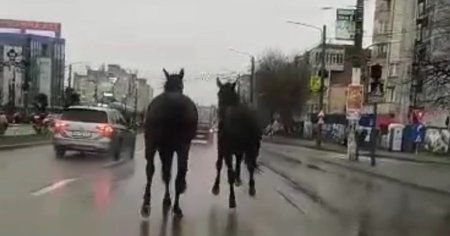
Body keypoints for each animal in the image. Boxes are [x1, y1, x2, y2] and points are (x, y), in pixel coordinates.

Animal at [141, 68, 197, 218]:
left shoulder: (166, 148)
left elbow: (166, 172)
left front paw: (167, 199)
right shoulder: (171, 148)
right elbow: (168, 172)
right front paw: (168, 199)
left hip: (153, 143)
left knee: (151, 169)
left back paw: (146, 204)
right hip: (179, 146)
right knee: (178, 173)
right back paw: (176, 206)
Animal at [212, 78, 262, 207]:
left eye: (227, 95)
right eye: (218, 94)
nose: (220, 117)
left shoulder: (246, 148)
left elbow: (246, 167)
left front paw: (233, 197)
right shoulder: (225, 149)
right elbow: (226, 168)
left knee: (244, 164)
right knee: (235, 163)